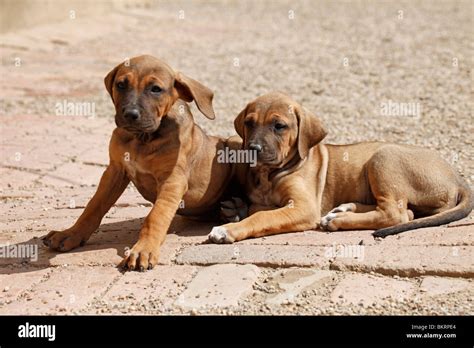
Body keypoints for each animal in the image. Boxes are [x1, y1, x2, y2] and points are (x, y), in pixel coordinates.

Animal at [42, 55, 239, 270]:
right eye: (121, 85)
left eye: (156, 89)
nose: (130, 114)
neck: (142, 139)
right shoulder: (114, 171)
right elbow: (93, 207)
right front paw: (70, 234)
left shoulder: (172, 181)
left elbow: (155, 216)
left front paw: (144, 249)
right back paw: (232, 210)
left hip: (234, 142)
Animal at [208, 91, 474, 242]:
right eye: (249, 123)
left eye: (279, 126)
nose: (253, 148)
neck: (268, 175)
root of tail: (459, 179)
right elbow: (259, 208)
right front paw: (237, 209)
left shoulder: (304, 207)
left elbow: (262, 216)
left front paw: (228, 229)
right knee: (402, 211)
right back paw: (343, 209)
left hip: (383, 157)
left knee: (397, 213)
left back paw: (337, 220)